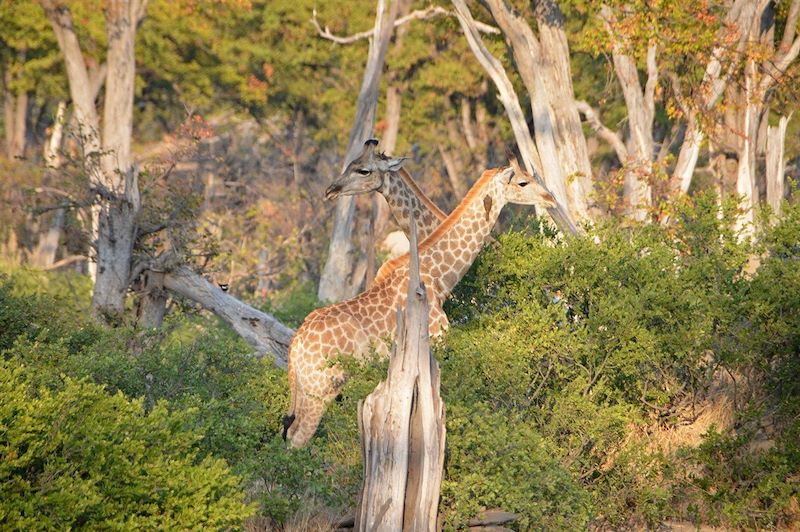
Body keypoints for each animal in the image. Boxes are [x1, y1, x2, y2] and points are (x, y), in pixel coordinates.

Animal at [282, 161, 556, 444]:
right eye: (523, 182)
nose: (550, 199)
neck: (438, 277)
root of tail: (295, 348)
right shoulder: (437, 343)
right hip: (321, 390)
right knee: (298, 438)